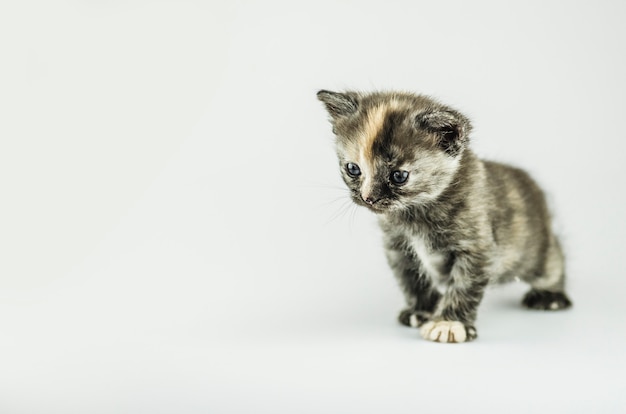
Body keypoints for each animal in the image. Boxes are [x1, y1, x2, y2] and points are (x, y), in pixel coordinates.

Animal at [316, 90, 572, 342]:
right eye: (353, 169)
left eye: (399, 176)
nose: (368, 197)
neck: (415, 212)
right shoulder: (399, 248)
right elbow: (412, 281)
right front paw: (422, 311)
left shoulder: (477, 248)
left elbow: (464, 285)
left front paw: (449, 323)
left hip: (536, 251)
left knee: (553, 260)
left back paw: (550, 295)